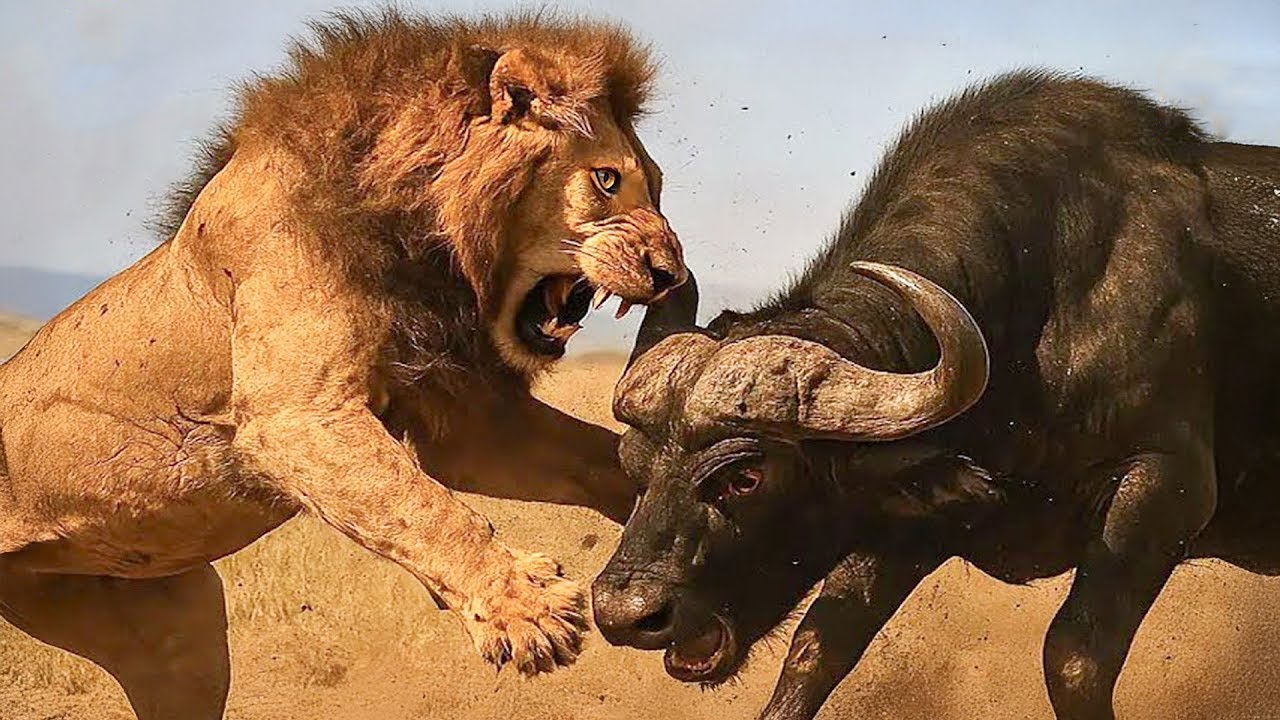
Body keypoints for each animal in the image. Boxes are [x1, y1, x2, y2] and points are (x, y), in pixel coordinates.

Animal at [0, 11, 687, 719]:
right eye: (607, 180)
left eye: (658, 186)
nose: (671, 275)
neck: (422, 239)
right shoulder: (295, 417)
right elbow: (421, 506)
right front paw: (525, 611)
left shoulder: (462, 422)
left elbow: (589, 460)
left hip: (174, 629)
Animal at [593, 70, 1280, 720]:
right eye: (634, 468)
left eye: (746, 476)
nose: (624, 615)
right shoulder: (903, 519)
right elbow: (816, 650)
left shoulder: (1165, 485)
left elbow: (1074, 659)